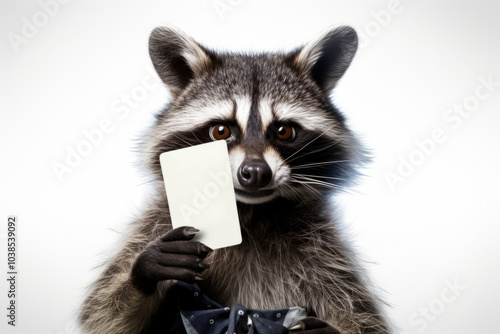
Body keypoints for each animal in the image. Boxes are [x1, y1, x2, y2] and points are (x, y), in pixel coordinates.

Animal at [77, 26, 390, 334]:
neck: (249, 213)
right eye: (220, 131)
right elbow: (102, 315)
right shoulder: (157, 224)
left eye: (284, 131)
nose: (255, 172)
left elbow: (361, 319)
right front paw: (144, 271)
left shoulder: (324, 253)